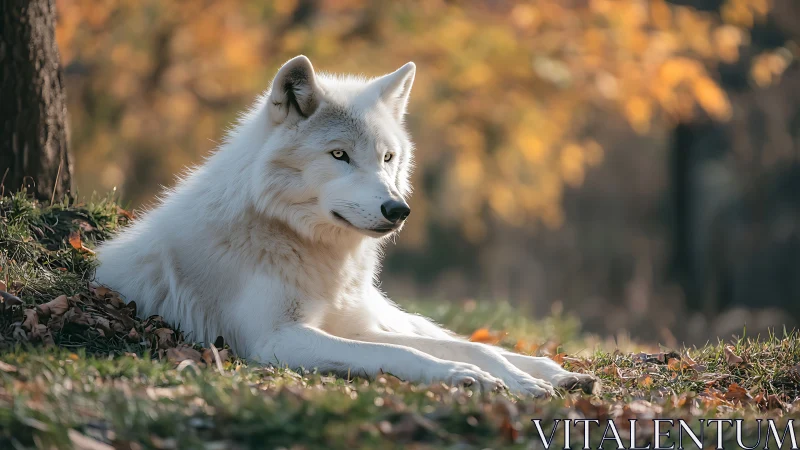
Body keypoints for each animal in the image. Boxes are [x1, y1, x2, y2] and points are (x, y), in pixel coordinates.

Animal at [95, 55, 597, 397]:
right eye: (339, 155)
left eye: (388, 158)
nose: (398, 209)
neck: (302, 244)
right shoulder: (274, 339)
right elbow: (400, 353)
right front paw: (464, 378)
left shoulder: (343, 326)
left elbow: (465, 347)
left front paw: (508, 377)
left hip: (381, 314)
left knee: (452, 337)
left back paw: (559, 374)